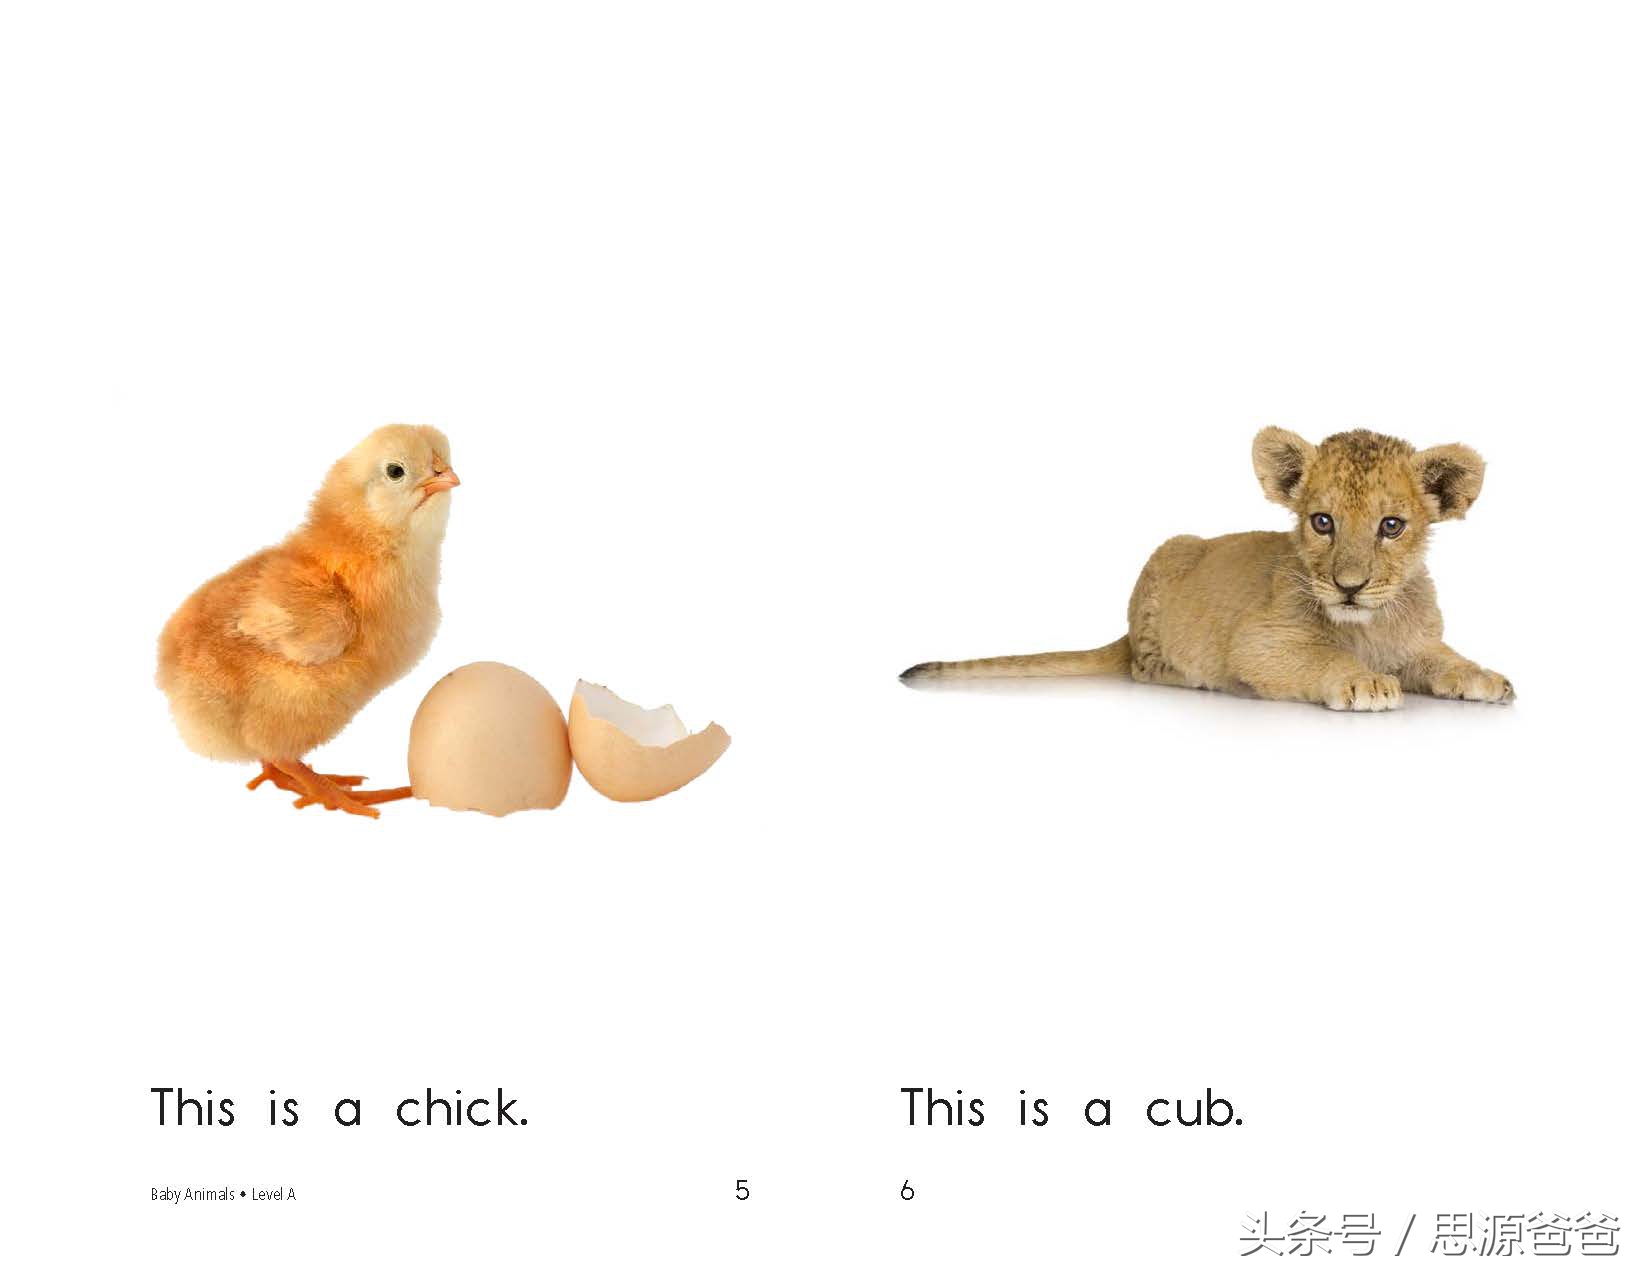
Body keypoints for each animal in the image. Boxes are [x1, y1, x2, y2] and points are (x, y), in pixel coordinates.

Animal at [900, 427, 1514, 711]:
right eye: (1322, 522)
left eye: (1391, 525)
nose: (1350, 587)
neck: (1369, 625)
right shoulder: (1259, 642)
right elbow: (1322, 656)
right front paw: (1363, 680)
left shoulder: (1419, 644)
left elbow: (1444, 659)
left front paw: (1486, 678)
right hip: (1166, 559)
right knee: (1142, 667)